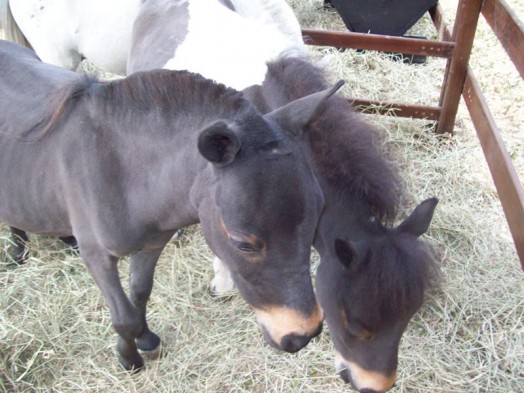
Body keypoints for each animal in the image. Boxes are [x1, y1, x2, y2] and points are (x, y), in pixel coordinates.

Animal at [0, 40, 340, 370]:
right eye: (243, 243)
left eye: (317, 218)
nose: (302, 334)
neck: (121, 171)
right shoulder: (97, 256)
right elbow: (123, 316)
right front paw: (129, 358)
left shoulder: (153, 242)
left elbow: (140, 293)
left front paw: (146, 339)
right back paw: (18, 251)